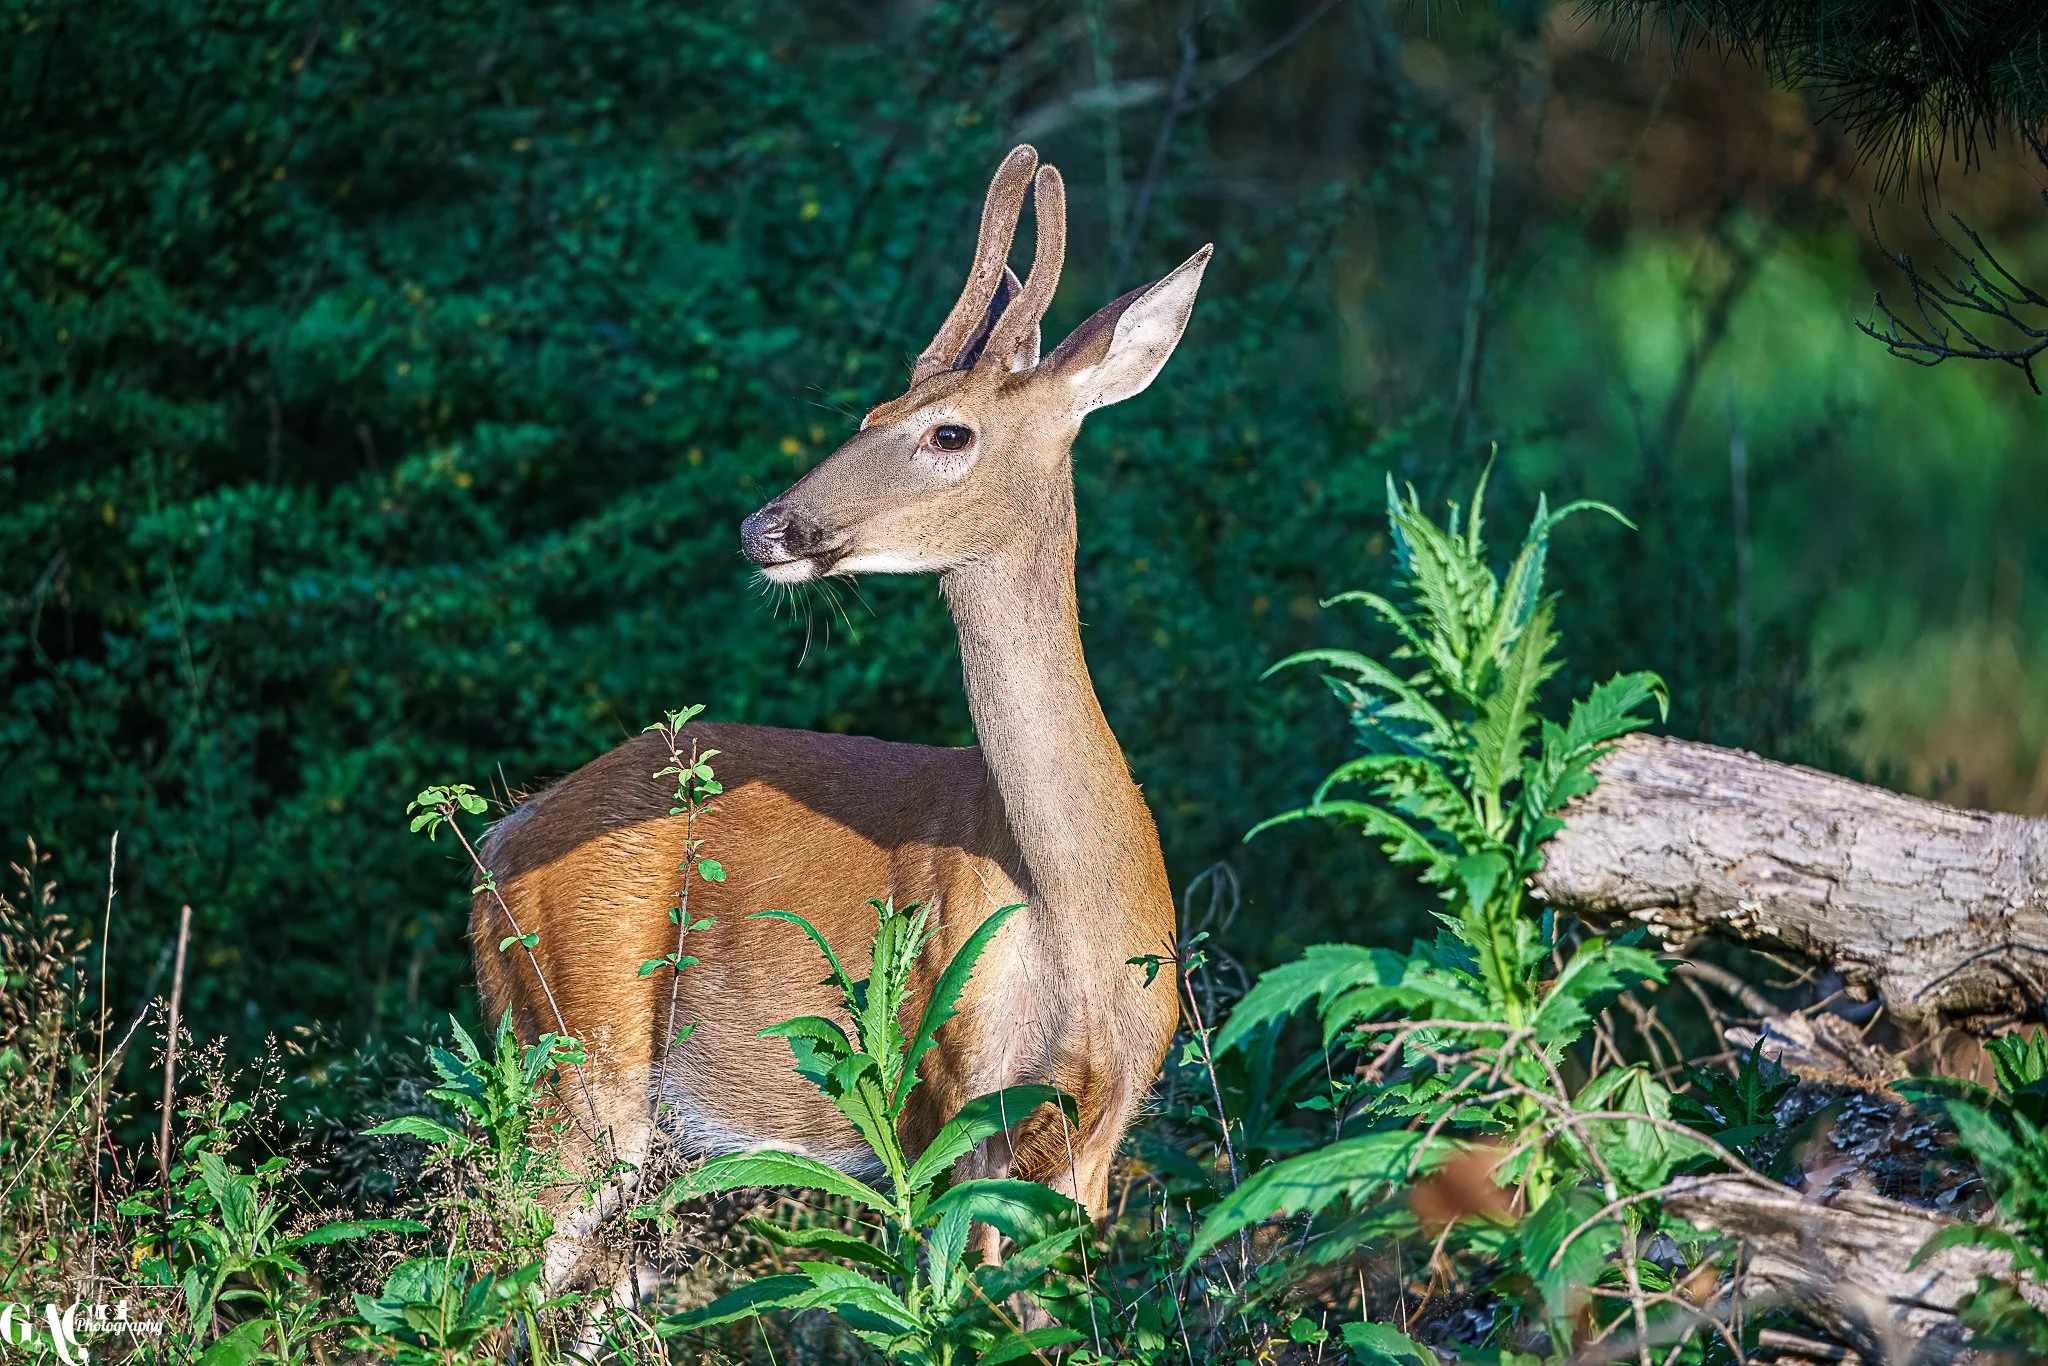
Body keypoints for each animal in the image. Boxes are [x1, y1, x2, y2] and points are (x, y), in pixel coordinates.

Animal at [471, 143, 1210, 1316]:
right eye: (868, 410)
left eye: (947, 431)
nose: (762, 526)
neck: (1073, 913)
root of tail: (500, 839)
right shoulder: (950, 1095)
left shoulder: (1099, 1130)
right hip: (575, 1054)